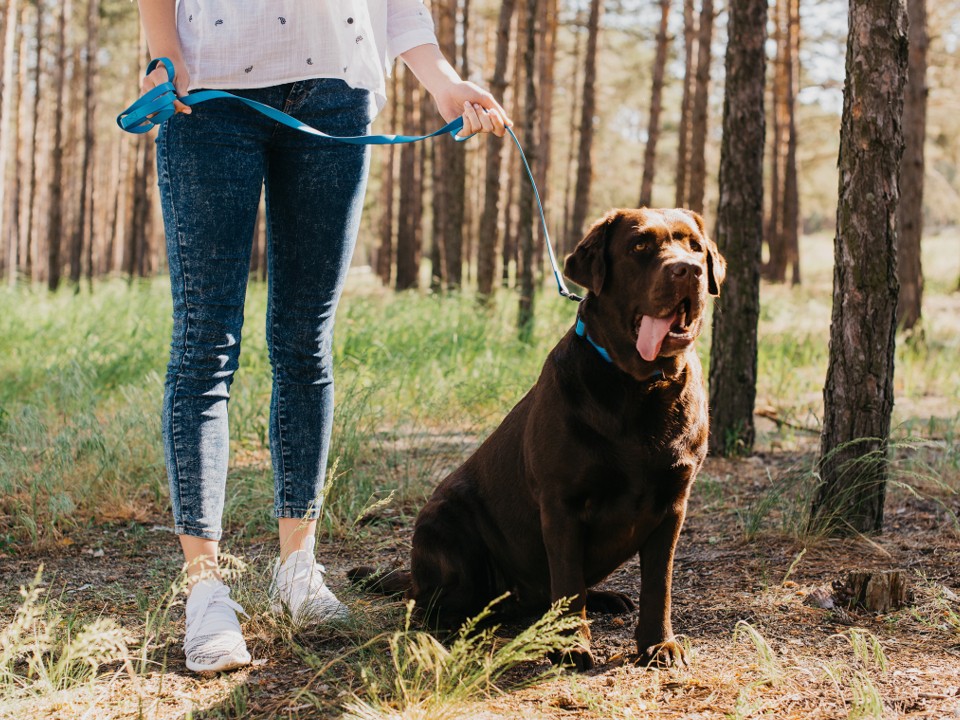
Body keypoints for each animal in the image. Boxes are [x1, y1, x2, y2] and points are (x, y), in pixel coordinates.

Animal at [350, 207, 720, 668]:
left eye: (694, 246)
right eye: (639, 246)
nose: (688, 270)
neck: (641, 387)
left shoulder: (672, 504)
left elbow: (658, 584)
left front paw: (658, 644)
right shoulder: (561, 503)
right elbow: (568, 582)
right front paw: (572, 645)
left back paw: (602, 598)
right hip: (444, 522)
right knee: (429, 604)